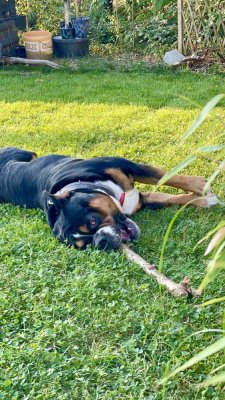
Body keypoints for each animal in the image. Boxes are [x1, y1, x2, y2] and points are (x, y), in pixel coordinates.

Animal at [0, 147, 219, 250]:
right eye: (86, 245)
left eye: (92, 220)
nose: (101, 241)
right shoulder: (144, 199)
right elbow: (172, 198)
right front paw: (204, 199)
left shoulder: (131, 166)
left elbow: (168, 177)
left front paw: (200, 186)